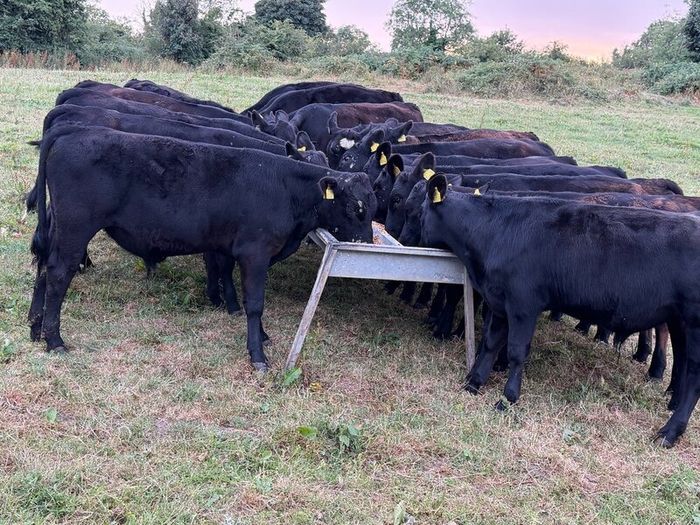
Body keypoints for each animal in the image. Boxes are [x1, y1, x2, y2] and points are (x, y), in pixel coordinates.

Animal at [28, 125, 376, 371]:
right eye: (355, 208)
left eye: (373, 206)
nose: (364, 243)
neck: (285, 187)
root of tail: (72, 132)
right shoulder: (255, 253)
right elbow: (255, 303)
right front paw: (257, 354)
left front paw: (261, 336)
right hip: (76, 229)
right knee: (59, 273)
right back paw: (55, 339)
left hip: (60, 228)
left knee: (45, 266)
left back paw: (35, 328)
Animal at [421, 175, 700, 447]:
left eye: (420, 210)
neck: (495, 230)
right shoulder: (498, 301)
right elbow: (490, 344)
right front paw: (474, 382)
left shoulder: (523, 304)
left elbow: (516, 352)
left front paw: (508, 399)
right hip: (680, 321)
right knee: (683, 361)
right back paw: (672, 404)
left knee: (694, 376)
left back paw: (669, 432)